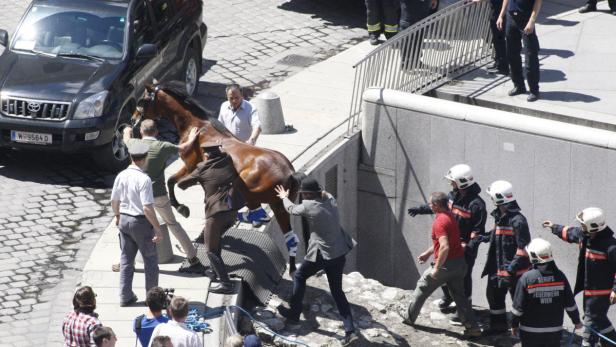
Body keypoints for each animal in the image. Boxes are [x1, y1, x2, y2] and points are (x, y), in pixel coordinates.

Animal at [132, 81, 304, 274]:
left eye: (143, 100)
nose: (133, 119)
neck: (198, 126)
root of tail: (289, 172)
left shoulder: (191, 166)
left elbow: (172, 182)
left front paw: (182, 208)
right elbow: (173, 181)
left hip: (252, 192)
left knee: (256, 212)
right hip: (279, 205)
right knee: (289, 237)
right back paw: (292, 267)